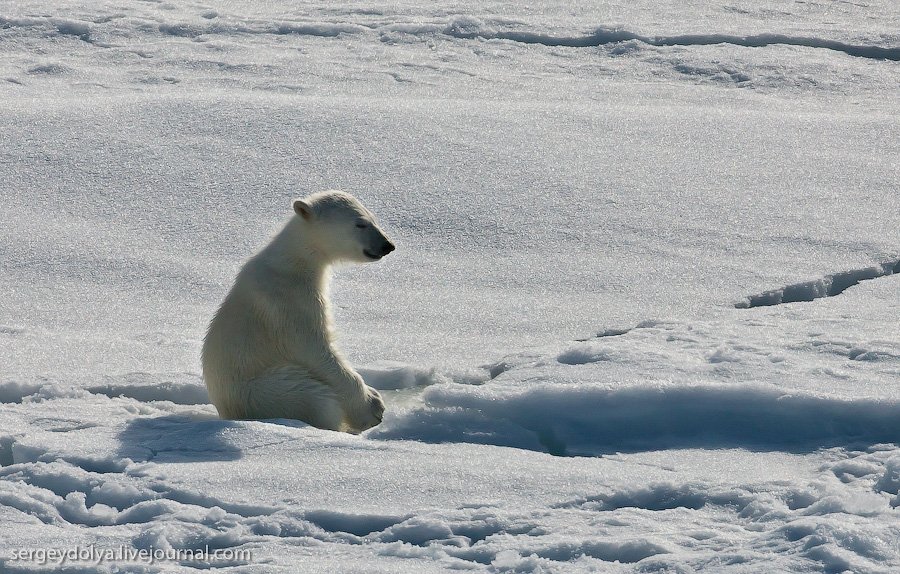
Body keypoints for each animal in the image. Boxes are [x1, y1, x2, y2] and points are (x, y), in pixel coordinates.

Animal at [204, 191, 394, 434]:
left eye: (373, 218)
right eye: (360, 223)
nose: (387, 245)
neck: (293, 262)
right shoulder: (289, 302)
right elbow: (315, 349)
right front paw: (372, 408)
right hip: (265, 393)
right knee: (316, 397)